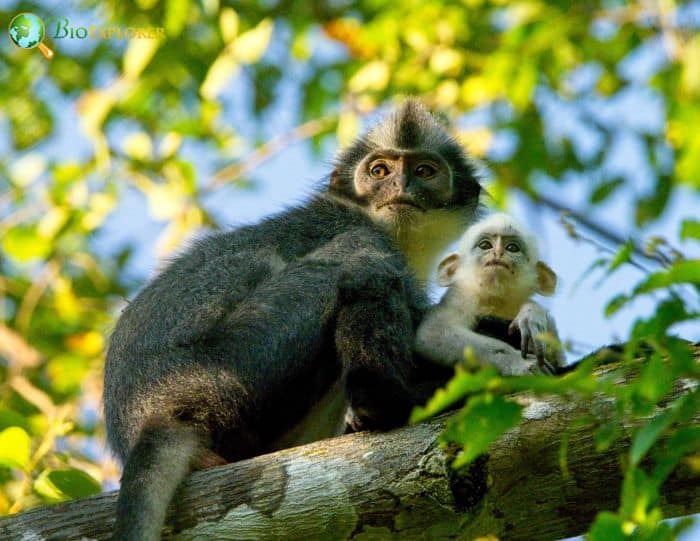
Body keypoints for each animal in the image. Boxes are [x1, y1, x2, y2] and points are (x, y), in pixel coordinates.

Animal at [106, 99, 484, 536]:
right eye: (379, 171)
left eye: (424, 171)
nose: (400, 187)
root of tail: (147, 420)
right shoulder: (362, 230)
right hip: (225, 371)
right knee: (361, 259)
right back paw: (386, 402)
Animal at [416, 212, 564, 376]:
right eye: (485, 246)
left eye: (512, 248)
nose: (498, 253)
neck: (496, 300)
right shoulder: (461, 296)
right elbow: (434, 333)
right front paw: (518, 362)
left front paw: (532, 313)